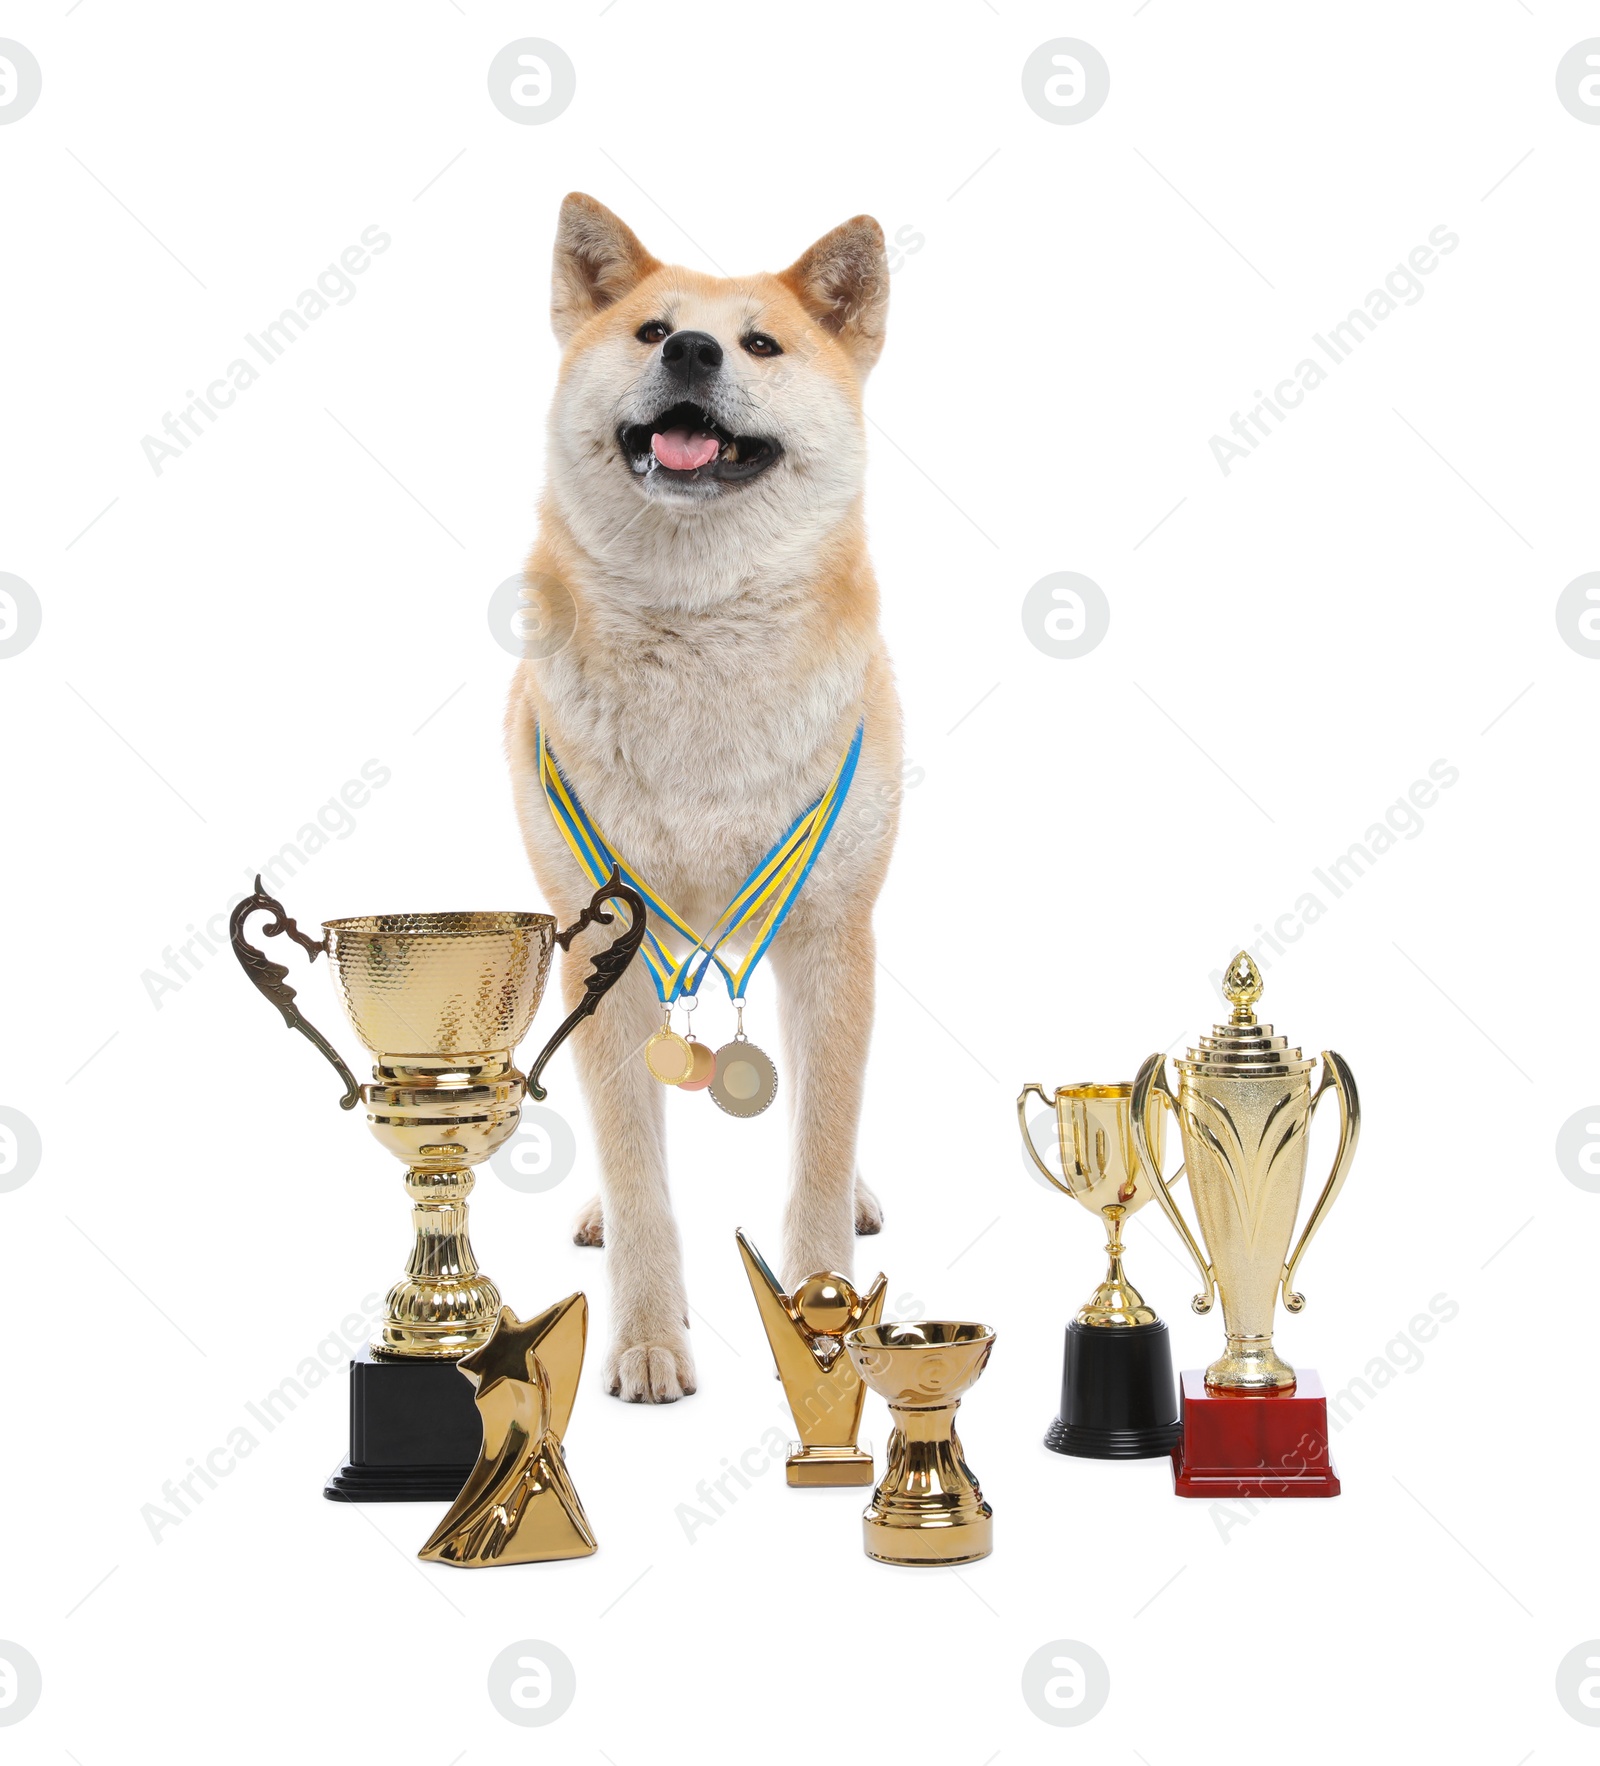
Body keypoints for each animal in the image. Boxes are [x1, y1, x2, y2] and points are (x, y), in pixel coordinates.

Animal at [508, 193, 897, 1405]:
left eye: (761, 344)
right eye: (649, 329)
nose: (689, 350)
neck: (698, 634)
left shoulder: (830, 935)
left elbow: (820, 1142)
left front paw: (825, 1318)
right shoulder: (600, 947)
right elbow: (639, 1172)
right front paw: (643, 1333)